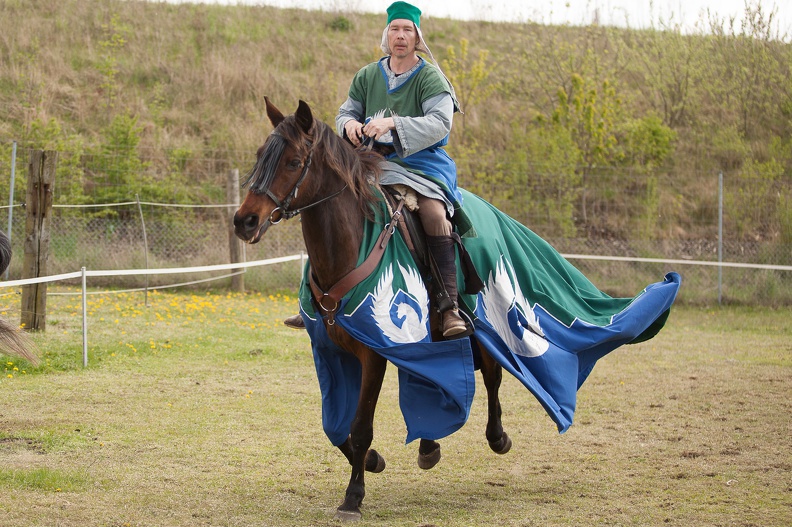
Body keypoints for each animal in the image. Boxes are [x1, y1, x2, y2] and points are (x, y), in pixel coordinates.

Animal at [232, 98, 510, 520]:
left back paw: (497, 437)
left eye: (294, 161)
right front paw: (373, 461)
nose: (245, 221)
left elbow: (360, 426)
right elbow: (335, 428)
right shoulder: (332, 352)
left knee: (493, 376)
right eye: (261, 155)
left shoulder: (373, 354)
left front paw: (353, 496)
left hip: (479, 325)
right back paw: (429, 446)